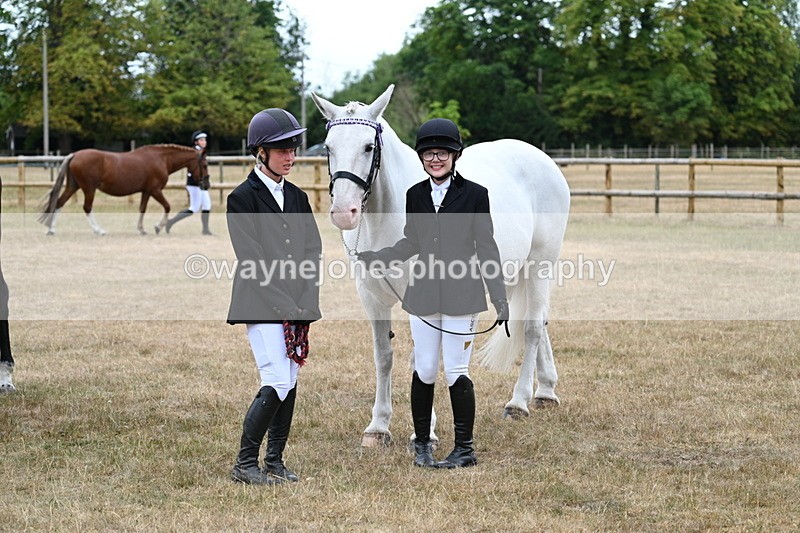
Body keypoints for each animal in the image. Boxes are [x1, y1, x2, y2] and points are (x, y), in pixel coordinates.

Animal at [39, 144, 203, 235]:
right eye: (204, 164)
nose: (205, 183)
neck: (161, 159)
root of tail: (75, 155)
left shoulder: (146, 191)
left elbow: (142, 209)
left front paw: (142, 229)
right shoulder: (155, 190)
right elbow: (167, 206)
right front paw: (158, 227)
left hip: (73, 186)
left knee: (59, 203)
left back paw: (51, 230)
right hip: (89, 188)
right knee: (87, 207)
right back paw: (99, 230)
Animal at [311, 85, 571, 447]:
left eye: (367, 147)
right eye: (329, 147)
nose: (343, 212)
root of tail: (542, 159)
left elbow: (423, 358)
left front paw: (426, 432)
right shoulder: (371, 298)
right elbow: (384, 356)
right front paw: (378, 427)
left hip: (540, 265)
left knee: (533, 327)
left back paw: (518, 403)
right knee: (538, 322)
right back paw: (546, 391)